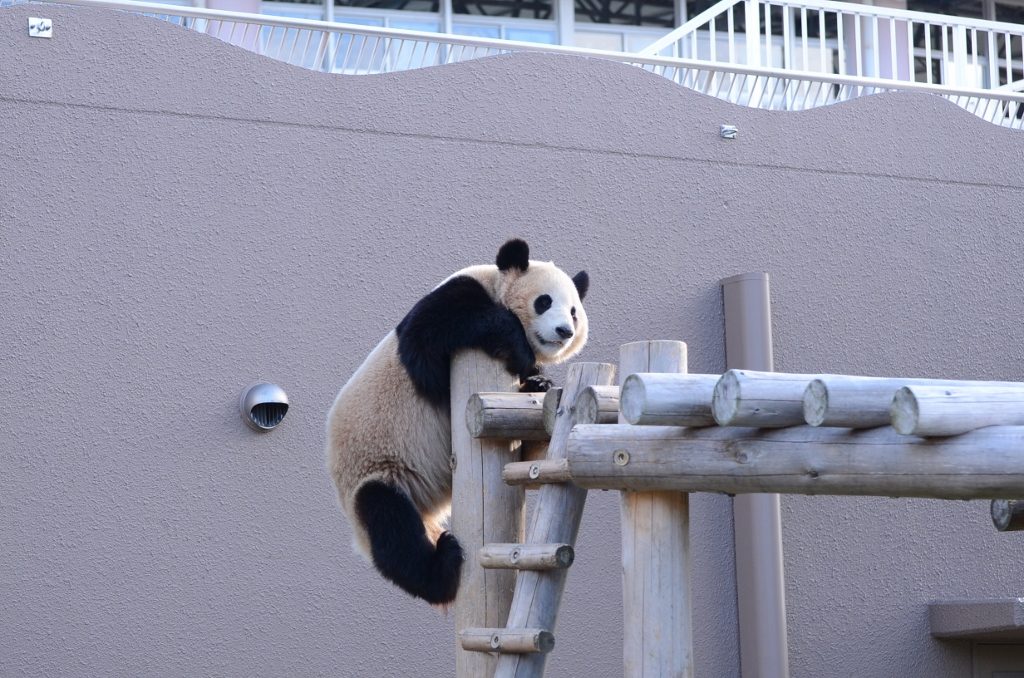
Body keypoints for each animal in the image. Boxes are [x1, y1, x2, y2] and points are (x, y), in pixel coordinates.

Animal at [323, 238, 589, 606]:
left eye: (575, 310)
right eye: (544, 301)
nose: (565, 331)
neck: (495, 284)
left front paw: (538, 382)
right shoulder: (455, 297)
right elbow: (428, 342)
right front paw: (520, 350)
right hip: (374, 468)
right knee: (389, 523)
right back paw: (442, 568)